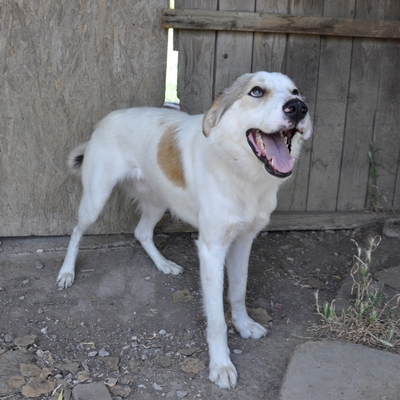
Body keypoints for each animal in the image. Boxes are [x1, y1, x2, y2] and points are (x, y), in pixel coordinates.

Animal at [57, 71, 312, 388]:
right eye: (256, 91)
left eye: (296, 91)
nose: (298, 108)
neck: (240, 172)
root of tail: (107, 118)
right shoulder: (211, 250)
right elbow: (216, 320)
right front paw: (221, 365)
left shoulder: (243, 241)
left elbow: (238, 292)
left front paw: (244, 325)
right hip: (96, 198)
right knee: (76, 231)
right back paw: (66, 272)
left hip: (158, 201)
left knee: (141, 232)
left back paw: (164, 265)